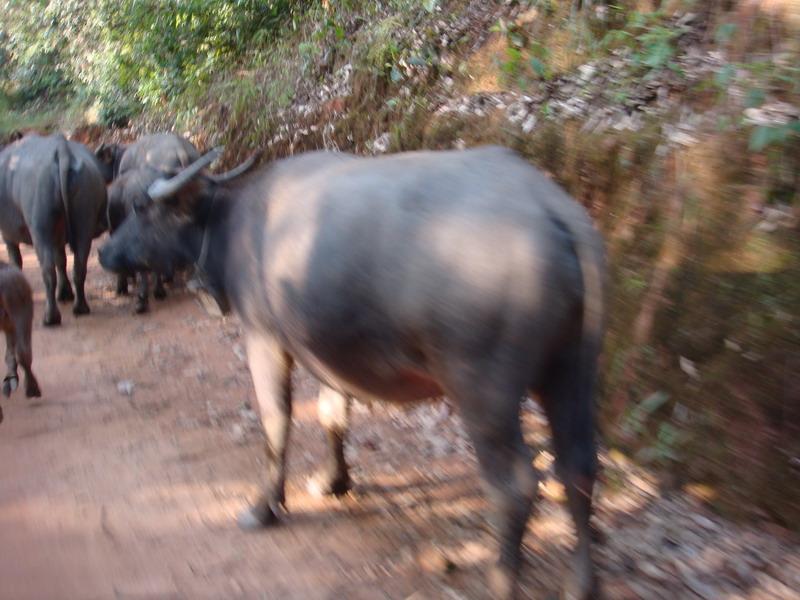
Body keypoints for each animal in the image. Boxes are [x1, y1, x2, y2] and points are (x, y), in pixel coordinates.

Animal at [0, 134, 108, 326]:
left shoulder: (7, 231)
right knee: (81, 251)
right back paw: (80, 308)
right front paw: (65, 294)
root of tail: (64, 154)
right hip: (88, 183)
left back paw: (50, 319)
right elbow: (61, 258)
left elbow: (15, 259)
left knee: (45, 259)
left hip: (39, 189)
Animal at [97, 146, 608, 600]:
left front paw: (263, 508)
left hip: (485, 391)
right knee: (578, 466)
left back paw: (502, 584)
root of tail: (553, 210)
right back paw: (582, 586)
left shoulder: (265, 338)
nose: (105, 254)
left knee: (514, 488)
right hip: (573, 370)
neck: (232, 224)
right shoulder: (326, 348)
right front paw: (334, 481)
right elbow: (332, 414)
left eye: (141, 207)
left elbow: (275, 419)